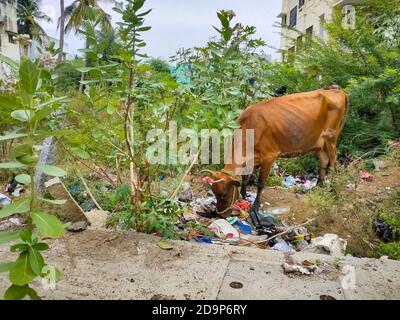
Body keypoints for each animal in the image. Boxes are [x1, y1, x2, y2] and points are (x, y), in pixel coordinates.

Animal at [203, 89, 346, 216]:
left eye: (224, 194)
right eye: (214, 193)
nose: (221, 214)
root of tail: (338, 92)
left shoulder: (269, 156)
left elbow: (260, 183)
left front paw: (255, 206)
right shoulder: (252, 158)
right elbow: (245, 178)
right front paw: (243, 196)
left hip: (331, 138)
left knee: (334, 164)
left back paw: (333, 189)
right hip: (319, 143)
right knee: (324, 161)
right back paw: (318, 186)